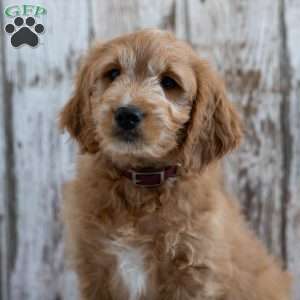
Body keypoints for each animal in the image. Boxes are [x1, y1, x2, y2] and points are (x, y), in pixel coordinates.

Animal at [59, 28, 292, 300]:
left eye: (169, 82)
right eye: (113, 73)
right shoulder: (95, 268)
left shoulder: (193, 273)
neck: (141, 184)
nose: (126, 114)